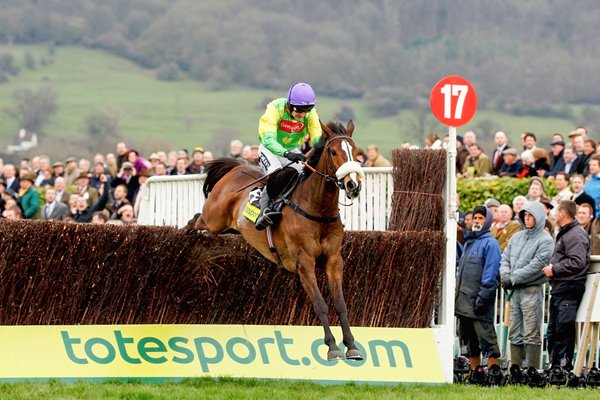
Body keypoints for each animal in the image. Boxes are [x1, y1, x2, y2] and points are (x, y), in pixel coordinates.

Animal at [190, 120, 364, 360]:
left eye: (355, 152)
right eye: (333, 152)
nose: (353, 185)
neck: (317, 208)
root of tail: (235, 167)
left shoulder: (333, 260)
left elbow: (340, 304)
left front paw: (352, 345)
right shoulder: (304, 262)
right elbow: (320, 305)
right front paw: (332, 347)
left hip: (231, 229)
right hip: (214, 219)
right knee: (196, 219)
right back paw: (188, 231)